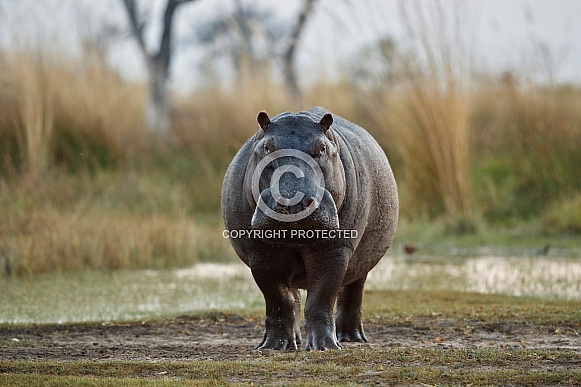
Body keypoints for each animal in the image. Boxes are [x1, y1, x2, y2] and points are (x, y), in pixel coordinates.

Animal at [220, 107, 396, 352]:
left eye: (322, 148)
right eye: (267, 147)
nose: (293, 202)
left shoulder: (335, 250)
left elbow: (321, 298)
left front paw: (325, 347)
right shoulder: (259, 253)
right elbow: (278, 299)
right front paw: (273, 346)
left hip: (363, 260)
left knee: (354, 292)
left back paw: (351, 338)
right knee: (293, 296)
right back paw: (294, 341)